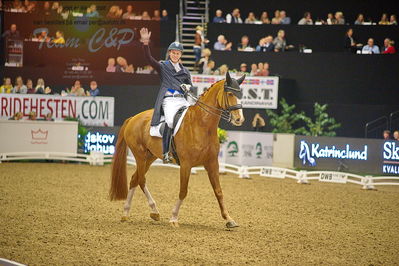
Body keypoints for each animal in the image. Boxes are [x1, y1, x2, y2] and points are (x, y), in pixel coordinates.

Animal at [111, 72, 245, 229]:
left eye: (241, 94)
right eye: (230, 93)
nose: (239, 119)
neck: (202, 124)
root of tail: (133, 118)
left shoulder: (212, 163)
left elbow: (218, 191)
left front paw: (229, 219)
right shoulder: (186, 165)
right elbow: (183, 191)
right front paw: (174, 218)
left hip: (150, 157)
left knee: (134, 179)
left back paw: (133, 213)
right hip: (140, 156)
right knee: (141, 180)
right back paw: (148, 211)